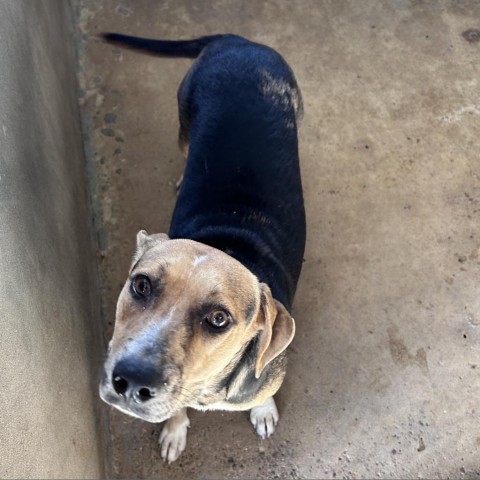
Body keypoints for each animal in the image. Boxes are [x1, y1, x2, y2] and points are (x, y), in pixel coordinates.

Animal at [99, 31, 306, 464]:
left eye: (219, 319)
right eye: (141, 285)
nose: (132, 381)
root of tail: (239, 42)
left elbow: (263, 394)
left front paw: (263, 410)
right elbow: (176, 412)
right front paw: (175, 430)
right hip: (183, 123)